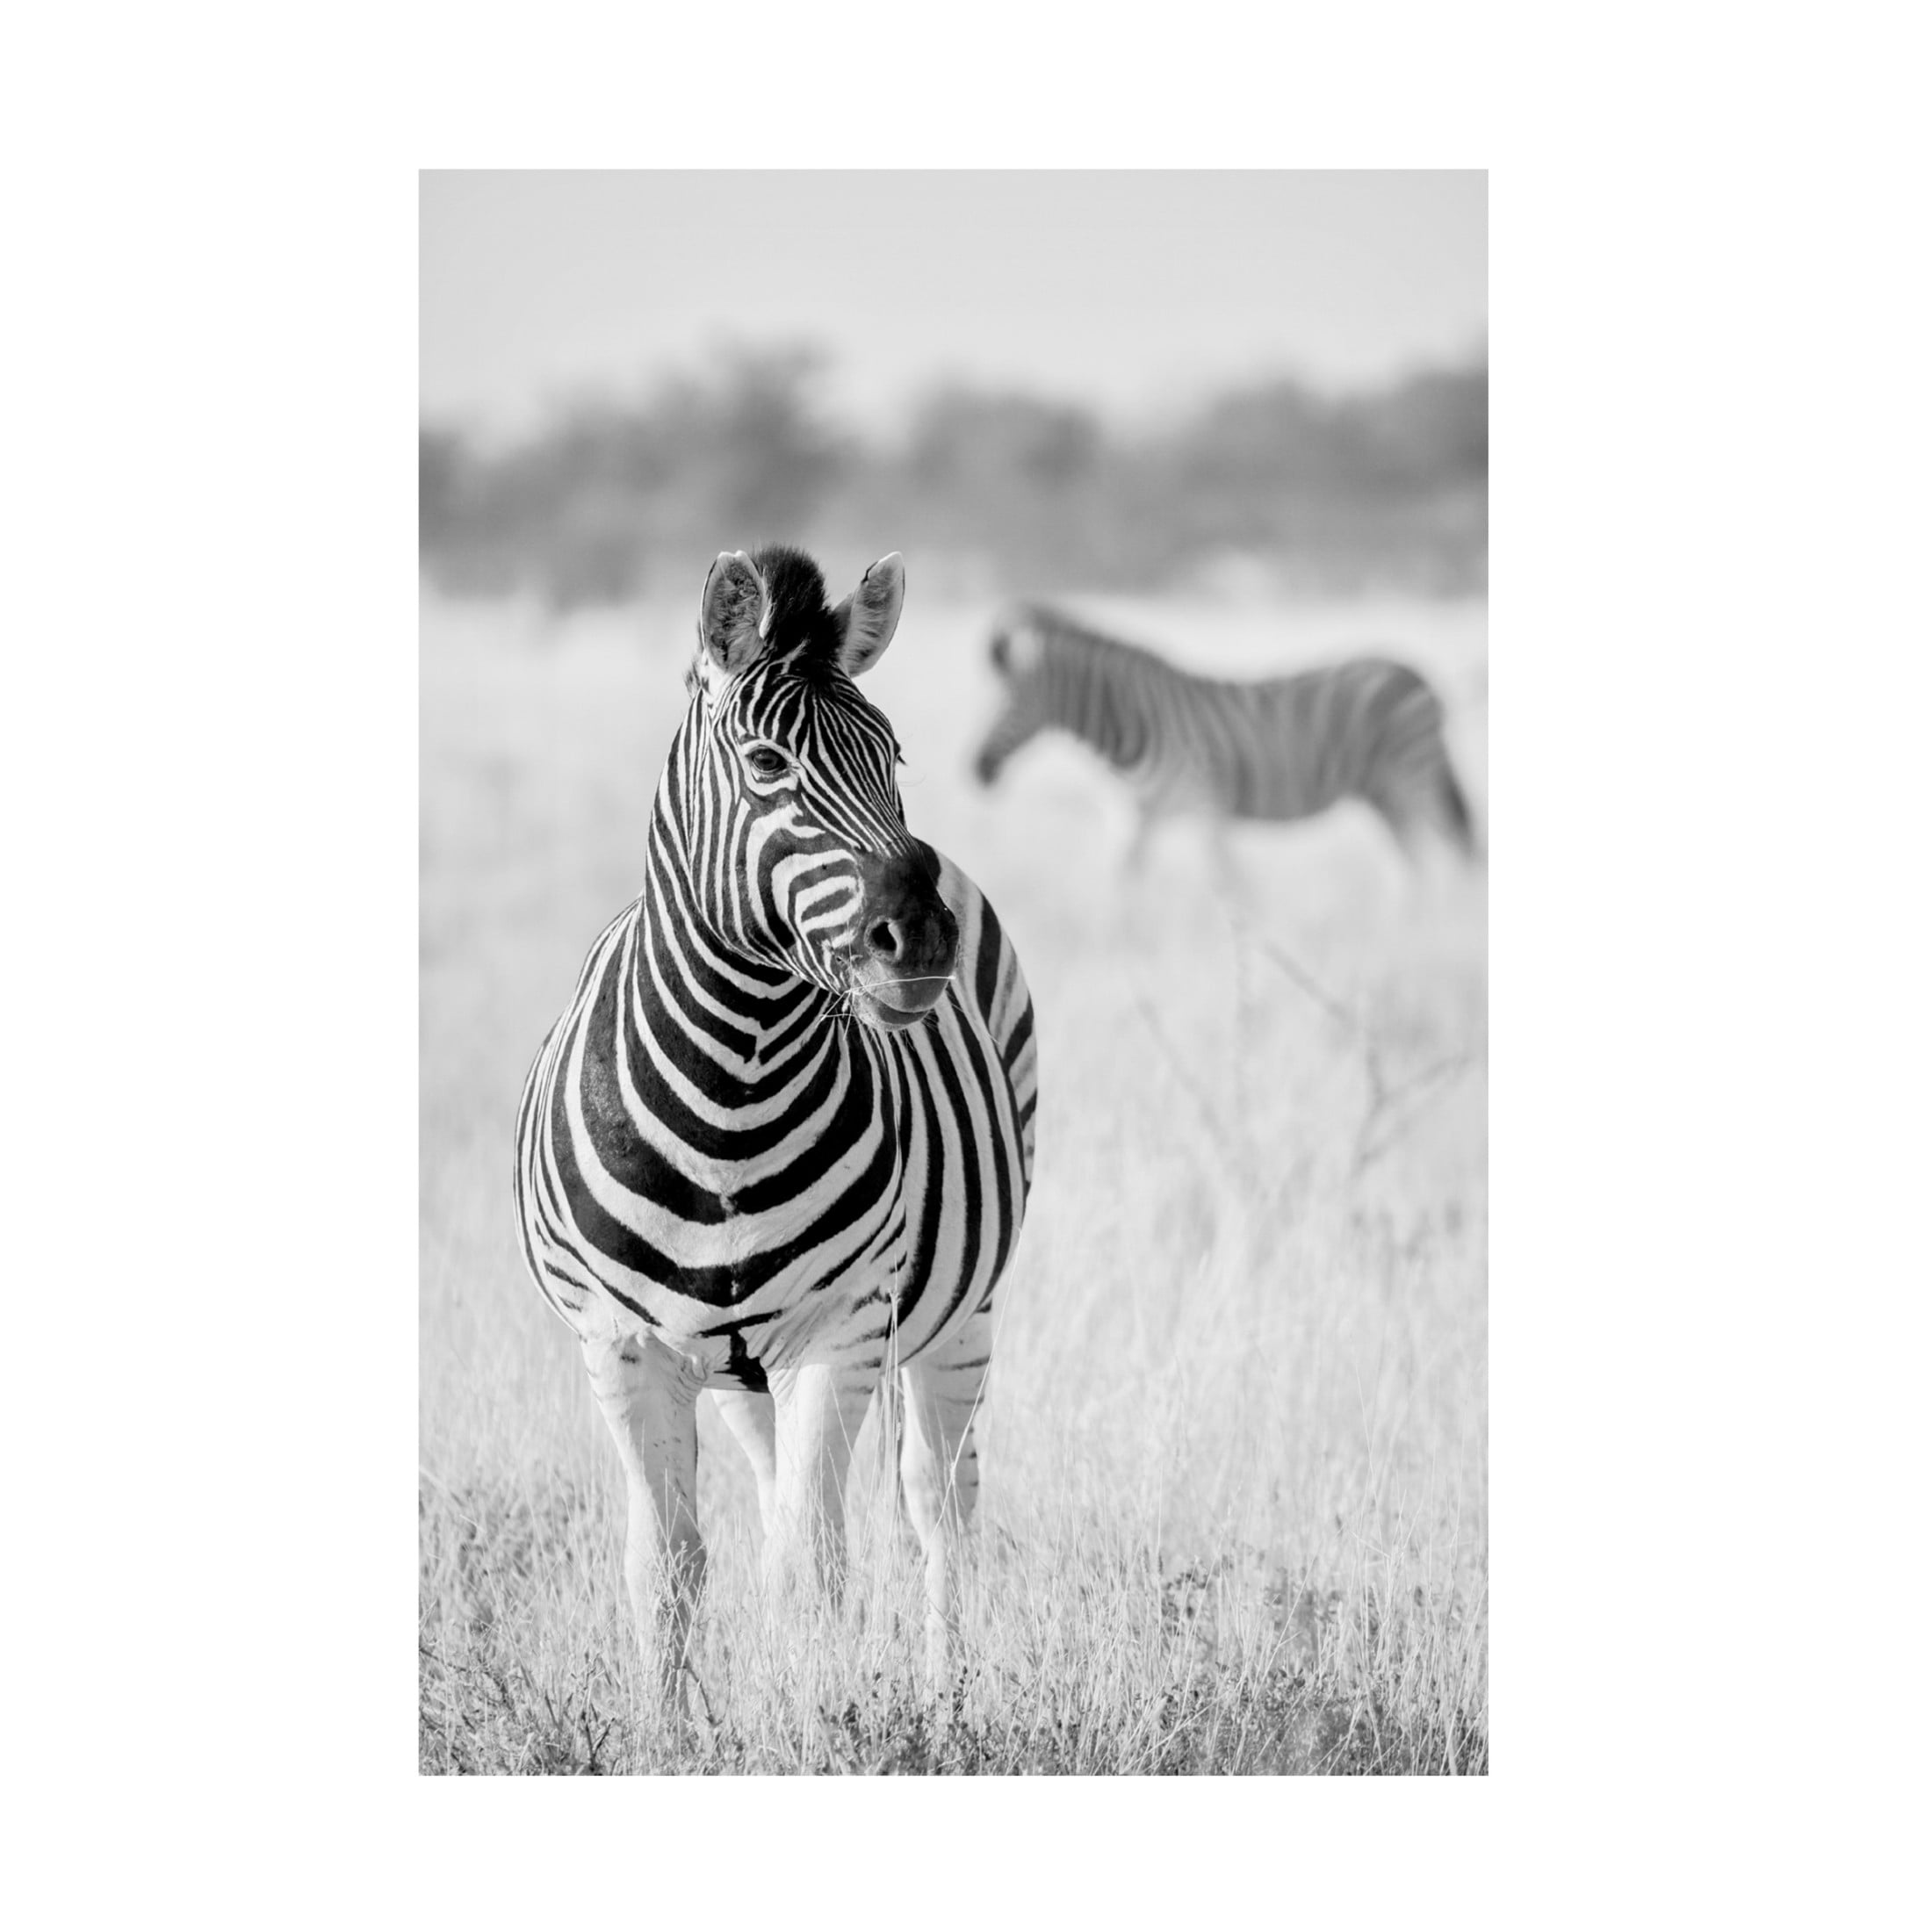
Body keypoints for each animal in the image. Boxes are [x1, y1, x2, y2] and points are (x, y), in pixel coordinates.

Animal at [514, 544, 1037, 1709]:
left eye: (892, 754)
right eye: (764, 763)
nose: (919, 938)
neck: (731, 1090)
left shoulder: (838, 1333)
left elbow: (812, 1568)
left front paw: (820, 1723)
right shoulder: (622, 1347)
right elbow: (665, 1569)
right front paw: (672, 1732)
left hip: (961, 1311)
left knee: (940, 1509)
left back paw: (949, 1700)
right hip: (741, 1369)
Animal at [973, 605, 1481, 867]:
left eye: (1005, 703)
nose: (976, 770)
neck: (1134, 724)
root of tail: (1415, 673)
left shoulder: (1207, 809)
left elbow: (1233, 889)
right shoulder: (1135, 818)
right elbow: (1123, 891)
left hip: (1415, 774)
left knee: (1459, 851)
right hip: (1383, 793)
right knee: (1416, 863)